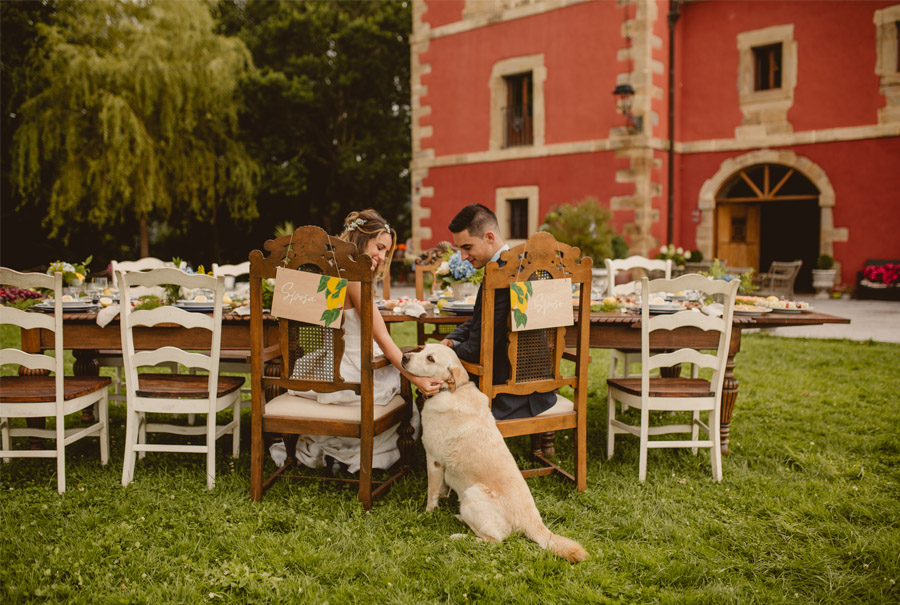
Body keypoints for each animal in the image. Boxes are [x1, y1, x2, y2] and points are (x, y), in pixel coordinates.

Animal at [402, 344, 588, 560]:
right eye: (422, 349)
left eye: (430, 358)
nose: (404, 357)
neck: (453, 390)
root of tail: (532, 521)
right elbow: (440, 489)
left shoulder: (433, 460)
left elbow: (431, 493)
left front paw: (427, 513)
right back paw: (460, 518)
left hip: (472, 494)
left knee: (494, 541)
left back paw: (459, 536)